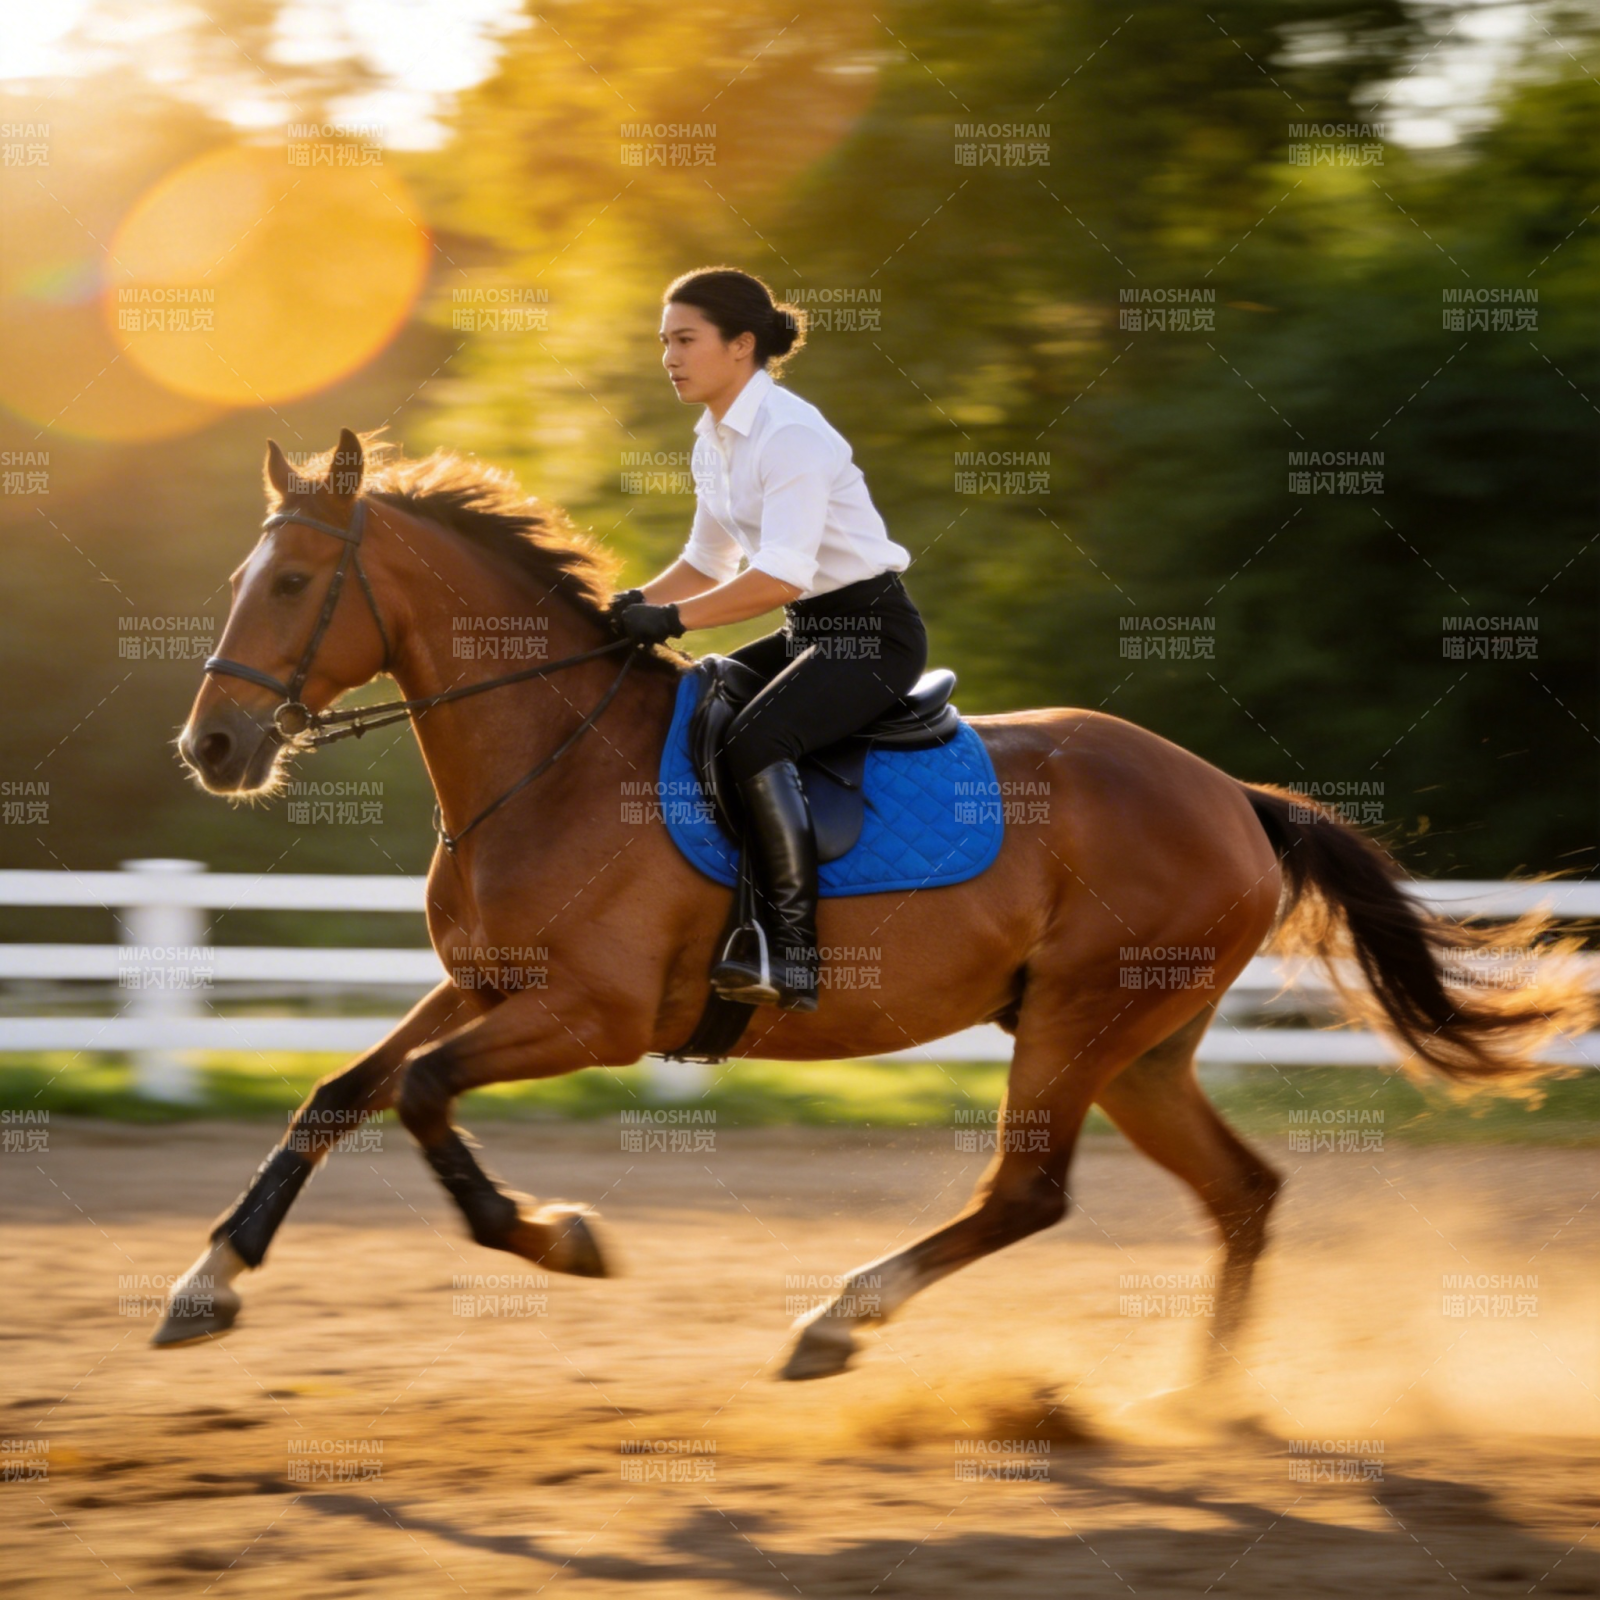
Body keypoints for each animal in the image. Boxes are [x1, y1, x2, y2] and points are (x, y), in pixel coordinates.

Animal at [159, 428, 1585, 1383]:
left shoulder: (593, 1017)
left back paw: (836, 1322)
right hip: (1141, 1047)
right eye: (237, 579)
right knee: (1239, 1194)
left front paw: (557, 1238)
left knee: (1027, 1194)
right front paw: (205, 1282)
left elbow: (416, 1095)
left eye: (292, 585)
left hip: (1078, 1023)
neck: (550, 757)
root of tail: (1231, 794)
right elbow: (338, 1092)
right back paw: (1205, 1404)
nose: (212, 748)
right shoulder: (485, 984)